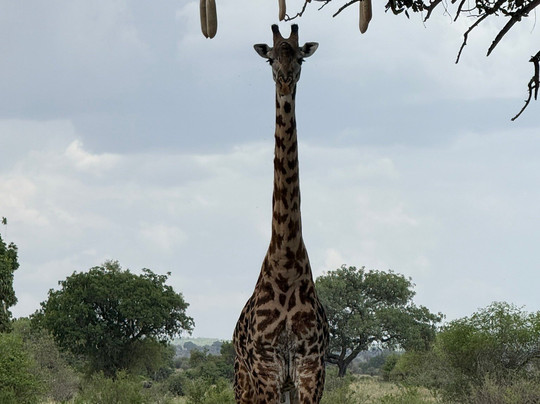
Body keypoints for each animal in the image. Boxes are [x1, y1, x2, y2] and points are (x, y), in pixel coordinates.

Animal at [233, 24, 329, 404]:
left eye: (300, 57)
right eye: (271, 58)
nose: (285, 81)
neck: (286, 261)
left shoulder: (310, 370)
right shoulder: (266, 371)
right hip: (243, 382)